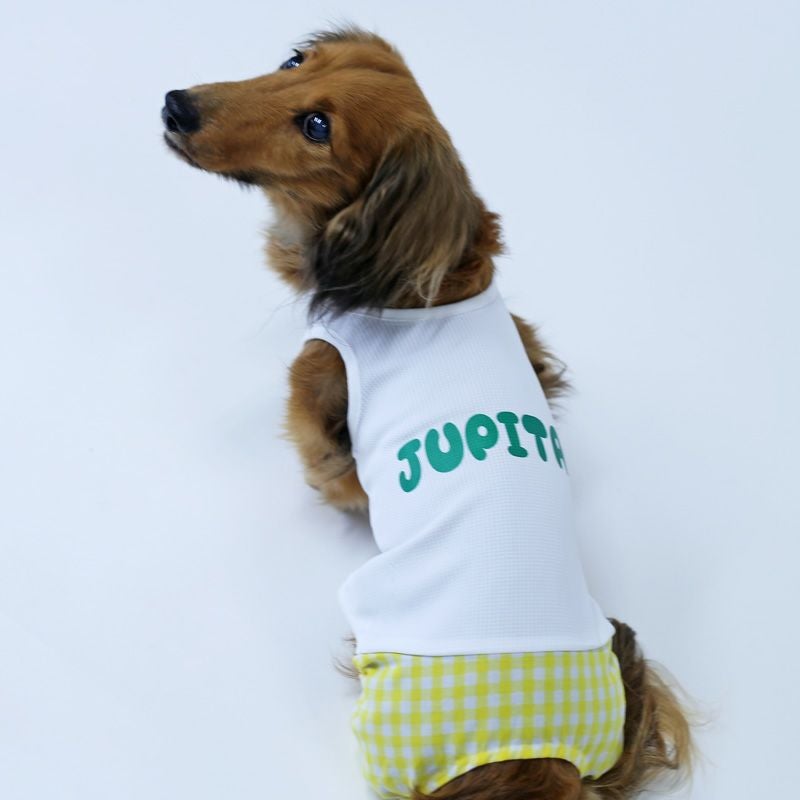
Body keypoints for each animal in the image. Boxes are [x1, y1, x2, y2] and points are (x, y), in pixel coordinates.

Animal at [162, 25, 693, 800]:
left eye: (316, 126)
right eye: (294, 62)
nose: (176, 105)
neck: (427, 289)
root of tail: (548, 760)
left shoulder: (315, 391)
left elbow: (328, 466)